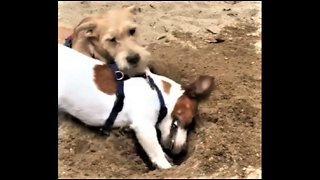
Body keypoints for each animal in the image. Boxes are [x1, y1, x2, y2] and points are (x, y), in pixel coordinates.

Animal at [57, 44, 215, 169]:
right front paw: (166, 166)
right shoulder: (144, 127)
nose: (182, 150)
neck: (157, 91)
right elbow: (156, 151)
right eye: (190, 120)